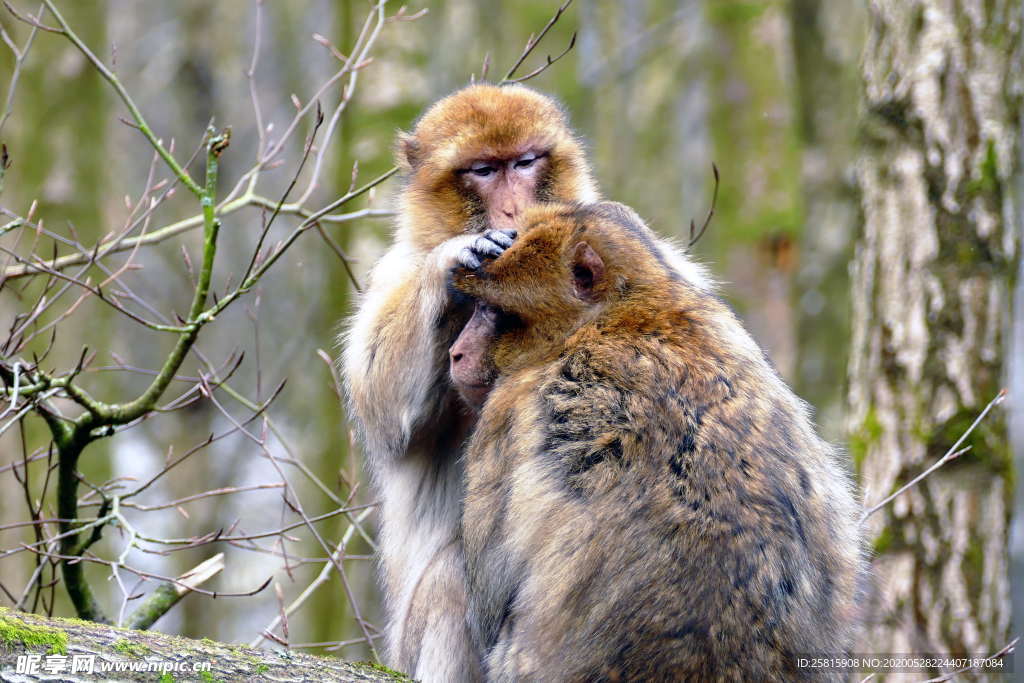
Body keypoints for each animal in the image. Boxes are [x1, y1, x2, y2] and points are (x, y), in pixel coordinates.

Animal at [344, 81, 598, 679]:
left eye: (525, 163)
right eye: (484, 170)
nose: (513, 207)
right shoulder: (393, 271)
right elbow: (380, 403)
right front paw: (449, 265)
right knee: (452, 577)